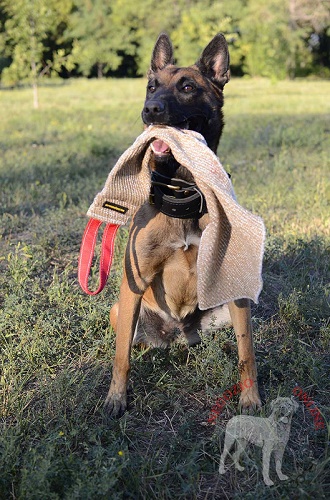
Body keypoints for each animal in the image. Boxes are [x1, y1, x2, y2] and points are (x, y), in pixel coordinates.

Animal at [105, 33, 260, 418]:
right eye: (151, 87)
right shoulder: (133, 283)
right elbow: (120, 356)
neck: (182, 189)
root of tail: (175, 331)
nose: (151, 109)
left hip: (226, 307)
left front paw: (251, 399)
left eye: (187, 87)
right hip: (121, 309)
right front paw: (116, 398)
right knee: (131, 342)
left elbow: (247, 352)